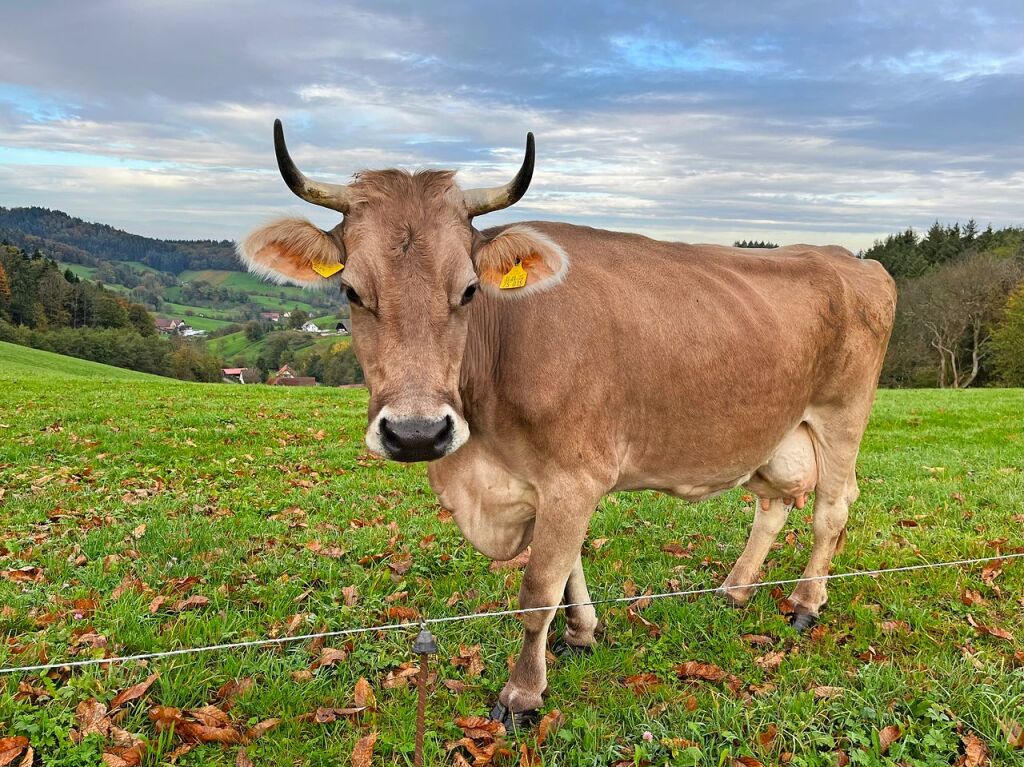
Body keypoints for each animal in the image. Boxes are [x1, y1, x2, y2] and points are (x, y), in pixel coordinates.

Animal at [239, 121, 897, 729]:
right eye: (351, 291)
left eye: (470, 290)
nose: (417, 433)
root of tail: (846, 257)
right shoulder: (544, 479)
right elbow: (570, 565)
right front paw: (581, 633)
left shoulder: (573, 475)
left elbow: (538, 590)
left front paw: (522, 694)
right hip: (775, 432)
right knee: (774, 502)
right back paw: (735, 588)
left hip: (841, 416)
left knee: (832, 507)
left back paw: (806, 602)